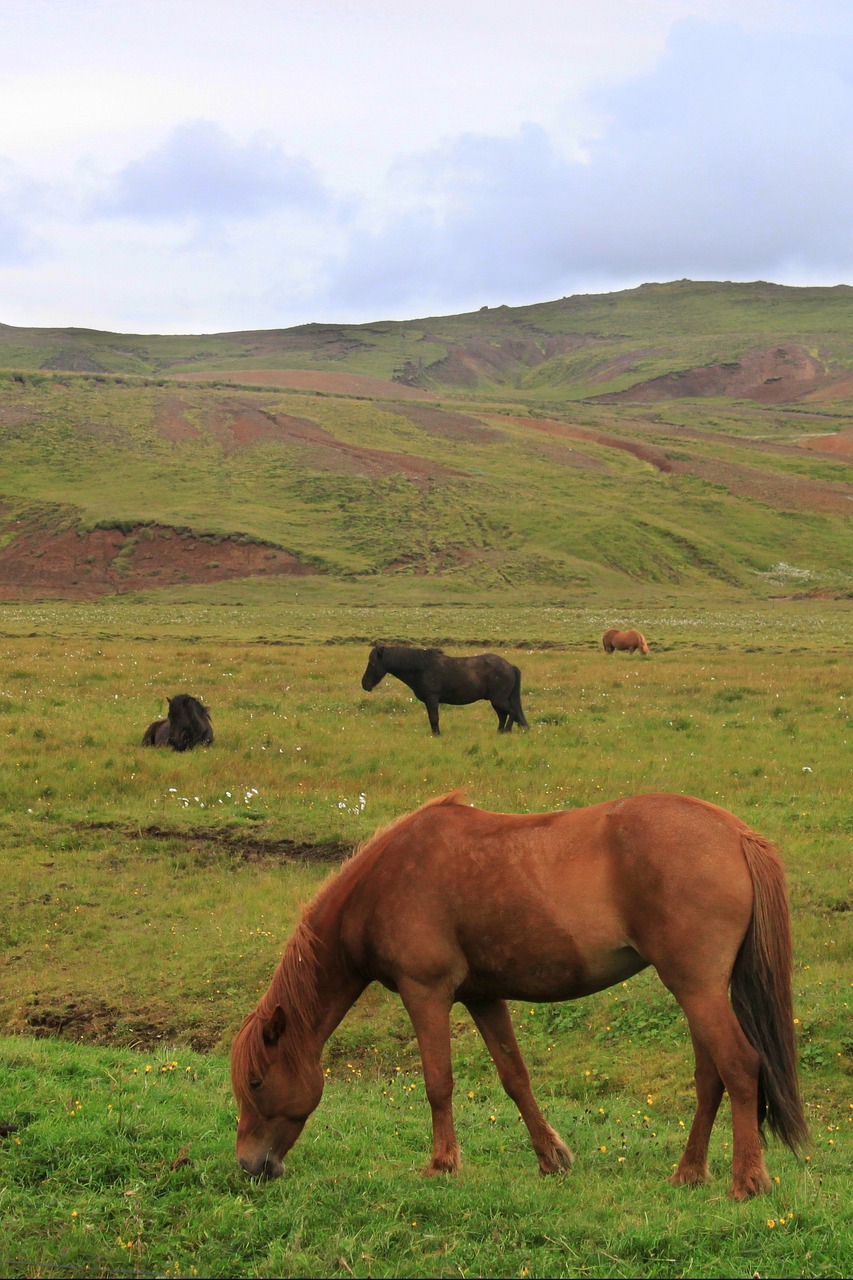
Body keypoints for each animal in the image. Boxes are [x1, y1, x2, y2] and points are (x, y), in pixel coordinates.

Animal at [230, 788, 804, 1198]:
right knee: (710, 1077)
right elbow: (515, 1078)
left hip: (696, 987)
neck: (384, 883)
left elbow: (438, 1082)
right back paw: (689, 1172)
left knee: (738, 1066)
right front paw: (551, 1158)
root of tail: (735, 833)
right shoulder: (484, 998)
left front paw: (442, 1164)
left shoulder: (425, 993)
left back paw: (747, 1181)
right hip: (700, 991)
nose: (249, 1166)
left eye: (256, 1082)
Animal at [358, 645, 525, 737]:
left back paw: (506, 731)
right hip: (496, 701)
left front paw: (437, 735)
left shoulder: (432, 699)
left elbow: (434, 718)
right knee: (504, 715)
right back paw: (500, 732)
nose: (364, 684)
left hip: (498, 699)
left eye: (372, 663)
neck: (422, 668)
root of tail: (510, 666)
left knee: (511, 713)